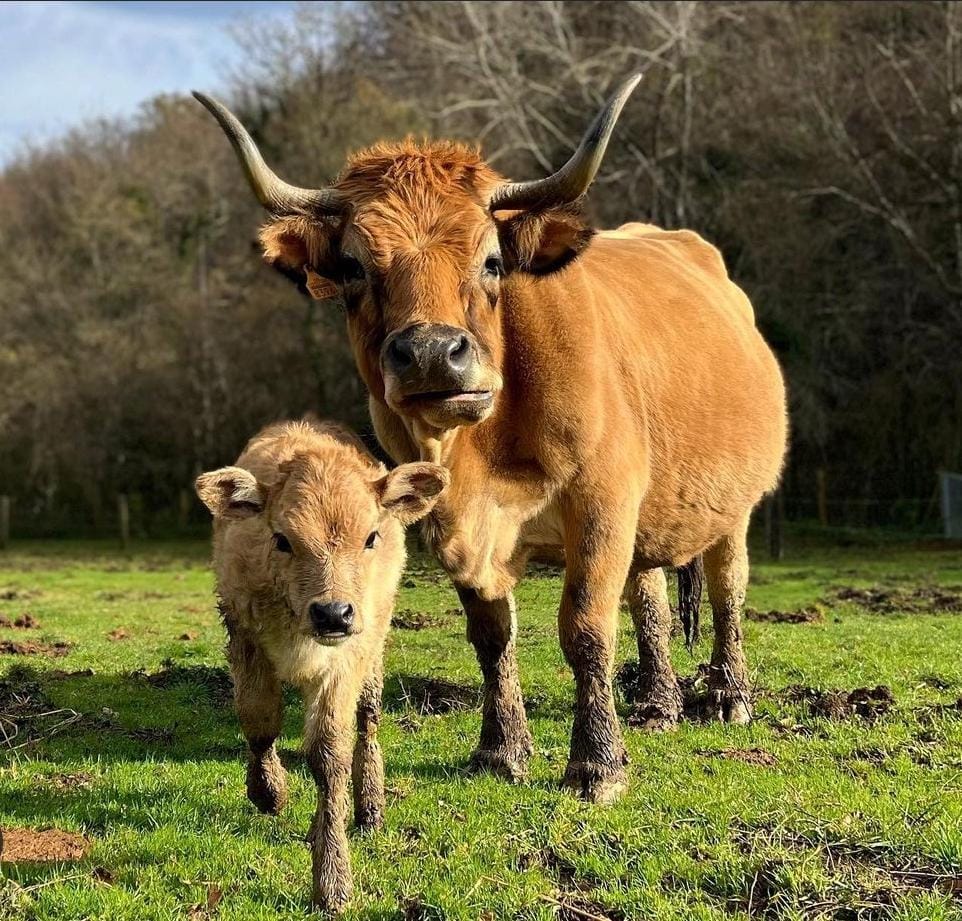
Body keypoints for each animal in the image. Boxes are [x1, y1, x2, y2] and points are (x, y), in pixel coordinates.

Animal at [197, 75, 788, 800]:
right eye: (356, 267)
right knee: (649, 597)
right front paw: (501, 747)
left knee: (729, 586)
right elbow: (491, 635)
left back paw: (728, 695)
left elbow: (585, 628)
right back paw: (657, 703)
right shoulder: (451, 519)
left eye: (493, 260)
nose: (430, 353)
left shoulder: (602, 501)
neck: (488, 453)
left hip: (734, 505)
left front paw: (597, 763)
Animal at [198, 420, 450, 908]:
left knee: (368, 720)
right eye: (282, 539)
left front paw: (332, 874)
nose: (333, 613)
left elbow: (330, 755)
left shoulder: (346, 661)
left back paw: (370, 805)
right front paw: (269, 792)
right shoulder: (243, 633)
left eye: (370, 537)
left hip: (374, 644)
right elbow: (259, 721)